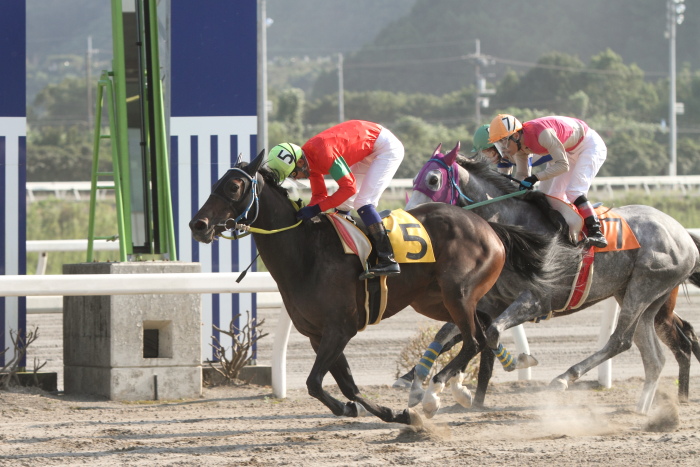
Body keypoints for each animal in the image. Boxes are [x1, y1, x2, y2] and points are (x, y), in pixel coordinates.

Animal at [189, 151, 576, 424]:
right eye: (214, 183)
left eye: (234, 187)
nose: (198, 224)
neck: (307, 252)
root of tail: (489, 226)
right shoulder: (318, 334)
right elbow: (343, 384)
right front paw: (378, 412)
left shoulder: (340, 328)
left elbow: (316, 382)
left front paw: (387, 410)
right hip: (435, 300)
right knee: (481, 331)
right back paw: (469, 384)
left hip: (458, 292)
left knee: (475, 339)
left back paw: (434, 391)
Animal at [404, 144, 700, 414]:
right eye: (414, 179)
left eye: (433, 180)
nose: (411, 220)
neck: (516, 232)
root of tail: (683, 234)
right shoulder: (492, 301)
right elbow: (451, 334)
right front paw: (426, 387)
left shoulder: (536, 300)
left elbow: (491, 333)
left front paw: (511, 365)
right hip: (639, 296)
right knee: (654, 356)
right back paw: (643, 409)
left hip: (643, 287)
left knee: (621, 340)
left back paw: (564, 379)